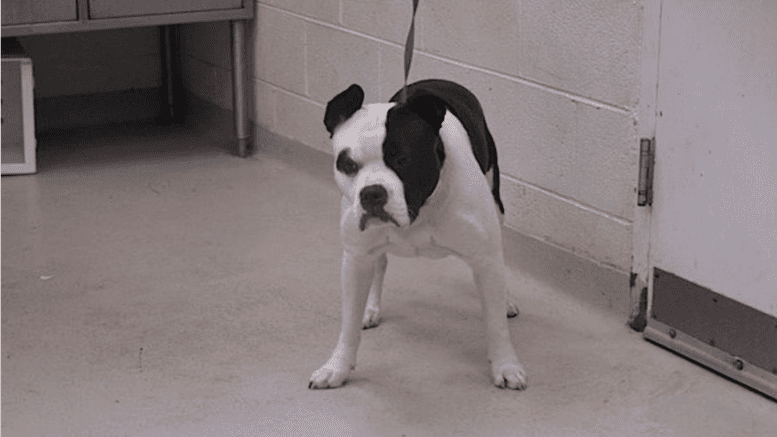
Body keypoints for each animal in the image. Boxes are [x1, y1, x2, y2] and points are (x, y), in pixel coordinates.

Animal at [310, 78, 528, 388]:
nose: (372, 193)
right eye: (348, 165)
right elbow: (348, 325)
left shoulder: (485, 258)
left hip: (497, 210)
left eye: (403, 160)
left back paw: (506, 301)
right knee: (379, 265)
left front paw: (506, 365)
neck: (420, 209)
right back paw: (371, 308)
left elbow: (496, 326)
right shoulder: (356, 259)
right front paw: (337, 366)